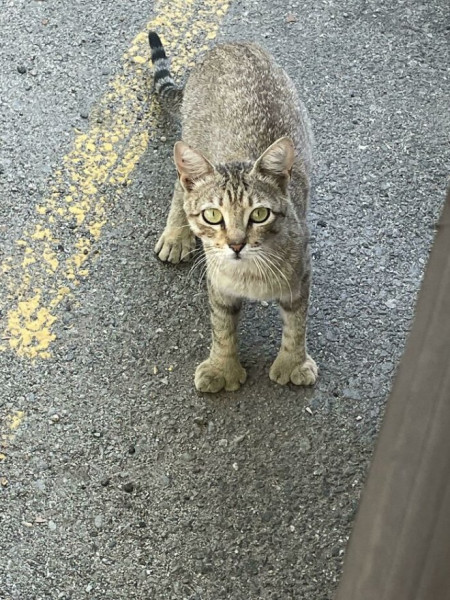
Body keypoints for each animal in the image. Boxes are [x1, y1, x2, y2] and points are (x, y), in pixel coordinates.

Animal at [148, 31, 316, 394]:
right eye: (213, 216)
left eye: (259, 215)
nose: (236, 244)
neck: (250, 273)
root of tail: (230, 44)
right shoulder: (219, 284)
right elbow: (222, 327)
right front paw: (222, 367)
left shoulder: (300, 279)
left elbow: (296, 325)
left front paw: (293, 363)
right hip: (191, 141)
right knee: (180, 187)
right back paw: (176, 235)